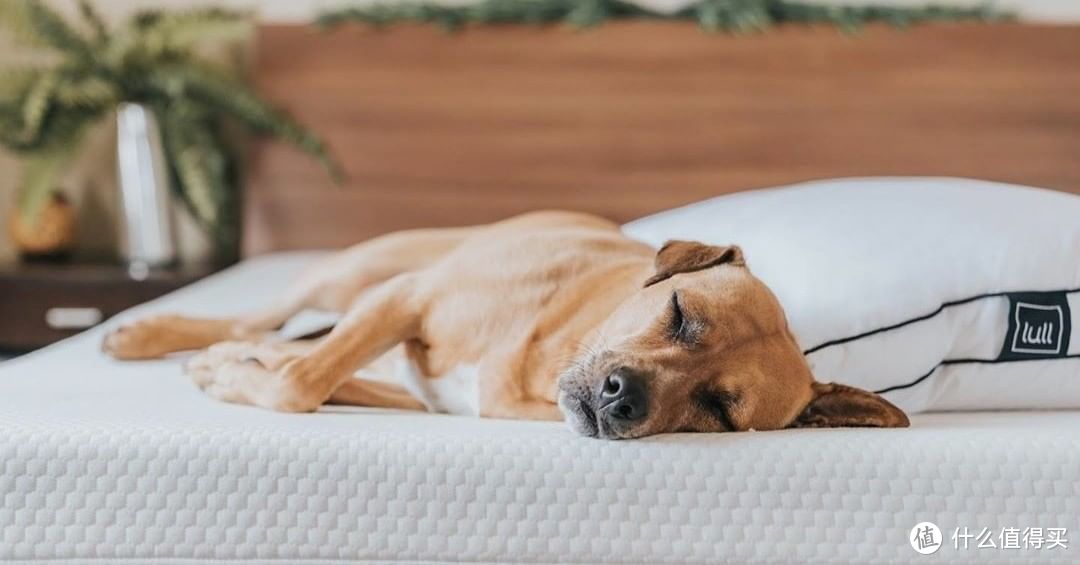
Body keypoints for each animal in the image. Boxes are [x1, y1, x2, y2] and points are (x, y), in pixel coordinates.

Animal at [103, 209, 911, 440]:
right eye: (682, 315)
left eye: (717, 409)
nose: (623, 397)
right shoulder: (406, 299)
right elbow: (301, 382)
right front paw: (228, 371)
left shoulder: (420, 390)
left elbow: (305, 380)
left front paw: (232, 373)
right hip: (364, 271)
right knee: (258, 318)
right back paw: (148, 333)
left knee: (272, 339)